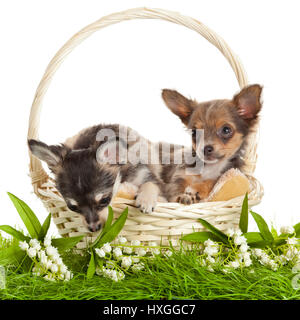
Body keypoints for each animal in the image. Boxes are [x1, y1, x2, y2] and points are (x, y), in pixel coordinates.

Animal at [27, 124, 163, 231]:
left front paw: (146, 200)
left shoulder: (145, 174)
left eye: (104, 200)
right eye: (72, 207)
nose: (94, 228)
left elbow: (150, 184)